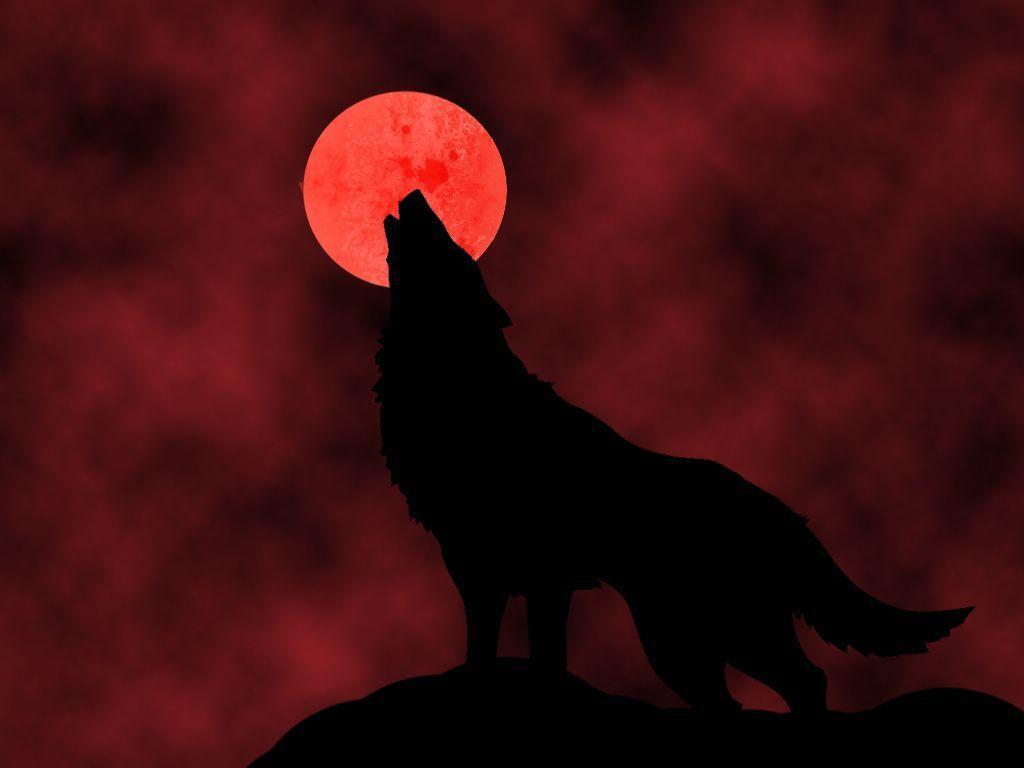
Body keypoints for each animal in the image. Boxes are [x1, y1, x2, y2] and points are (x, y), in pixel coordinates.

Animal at [373, 189, 972, 714]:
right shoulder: (479, 571)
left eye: (451, 246)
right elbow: (490, 655)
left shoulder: (539, 577)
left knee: (806, 681)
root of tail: (787, 515)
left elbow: (541, 660)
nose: (418, 194)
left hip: (706, 636)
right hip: (687, 644)